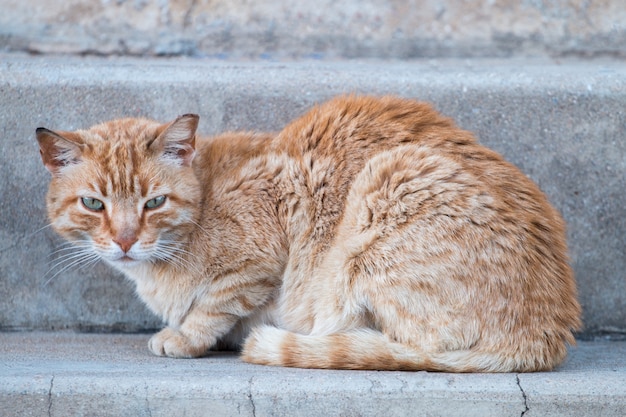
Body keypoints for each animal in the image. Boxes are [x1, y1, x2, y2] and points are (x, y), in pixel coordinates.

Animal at [36, 96, 576, 370]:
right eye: (93, 204)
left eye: (154, 203)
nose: (125, 241)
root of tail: (547, 331)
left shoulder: (265, 246)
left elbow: (215, 303)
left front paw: (185, 336)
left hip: (389, 185)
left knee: (413, 349)